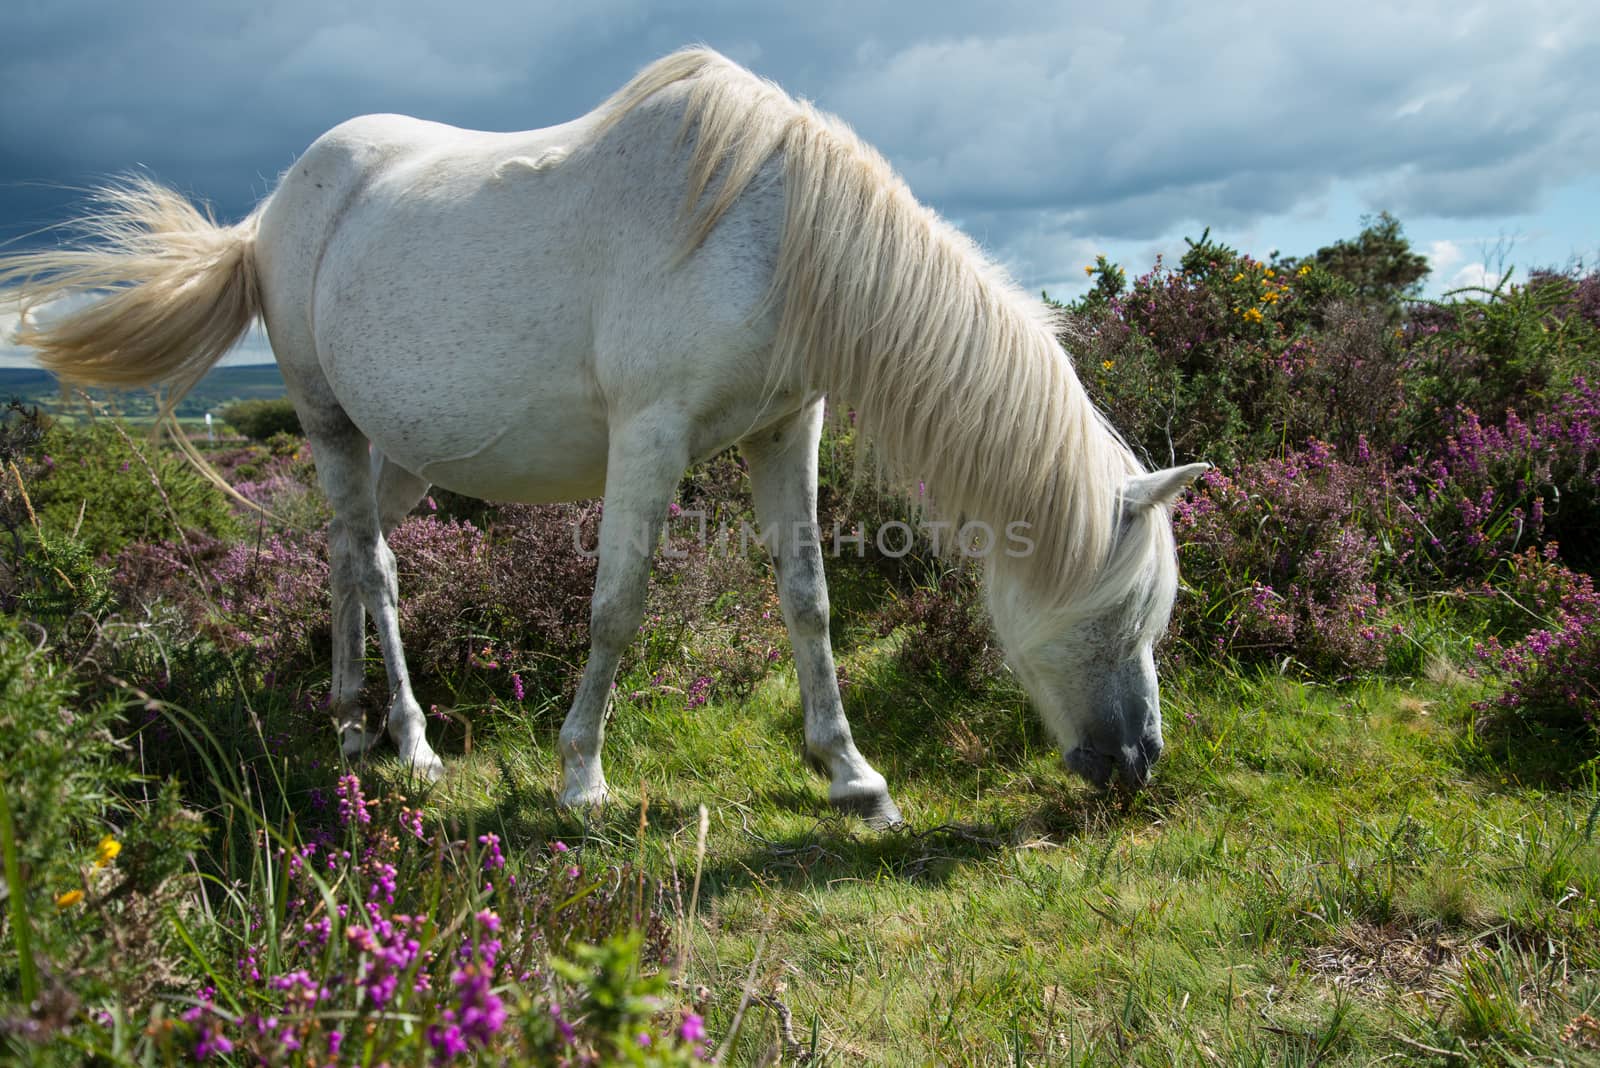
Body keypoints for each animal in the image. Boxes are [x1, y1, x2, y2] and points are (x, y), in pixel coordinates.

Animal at [3, 45, 1203, 824]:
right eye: (1118, 613)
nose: (1135, 764)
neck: (774, 235)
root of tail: (271, 213)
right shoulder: (651, 434)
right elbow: (617, 605)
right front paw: (579, 776)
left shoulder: (786, 429)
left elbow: (808, 603)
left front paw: (851, 775)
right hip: (327, 420)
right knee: (376, 567)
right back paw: (406, 741)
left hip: (402, 453)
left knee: (342, 555)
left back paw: (351, 727)